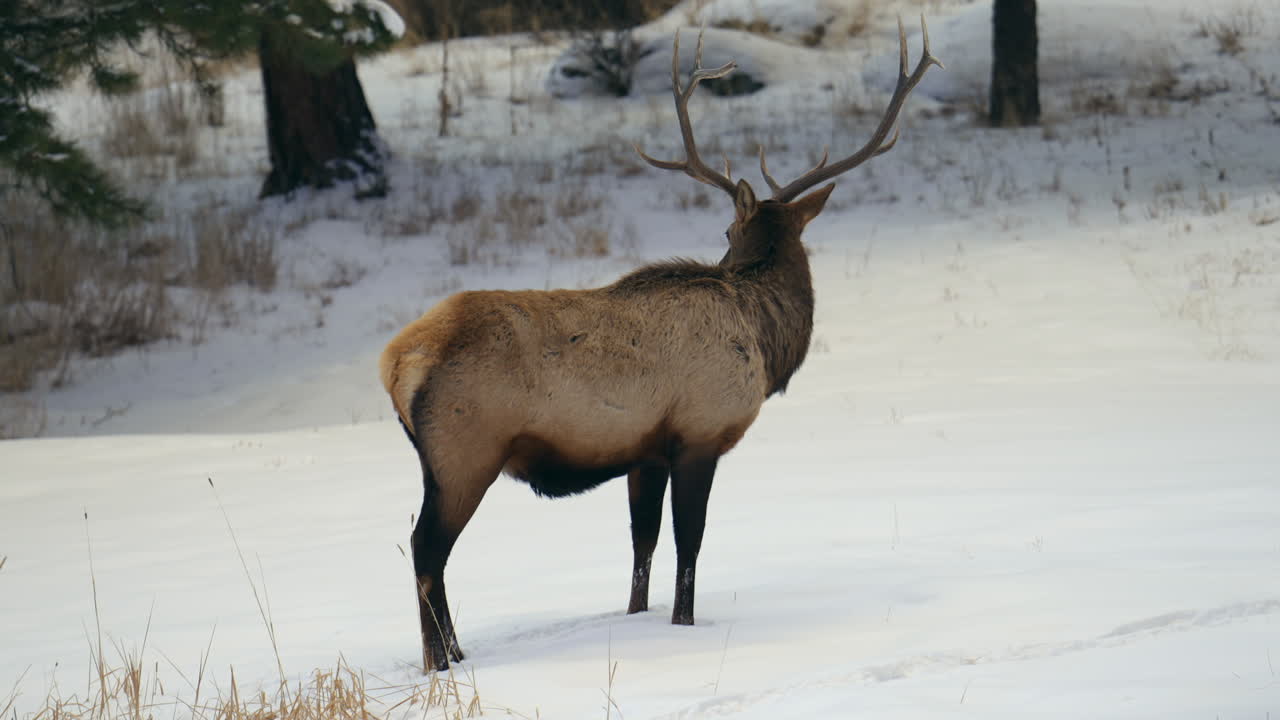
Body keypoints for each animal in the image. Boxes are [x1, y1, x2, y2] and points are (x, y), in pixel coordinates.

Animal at [380, 18, 941, 672]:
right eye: (726, 228)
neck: (765, 339)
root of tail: (395, 362)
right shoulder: (699, 433)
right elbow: (688, 543)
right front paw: (684, 625)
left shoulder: (643, 451)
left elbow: (641, 545)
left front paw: (636, 618)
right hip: (466, 451)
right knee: (425, 548)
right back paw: (441, 662)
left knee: (430, 552)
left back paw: (454, 653)